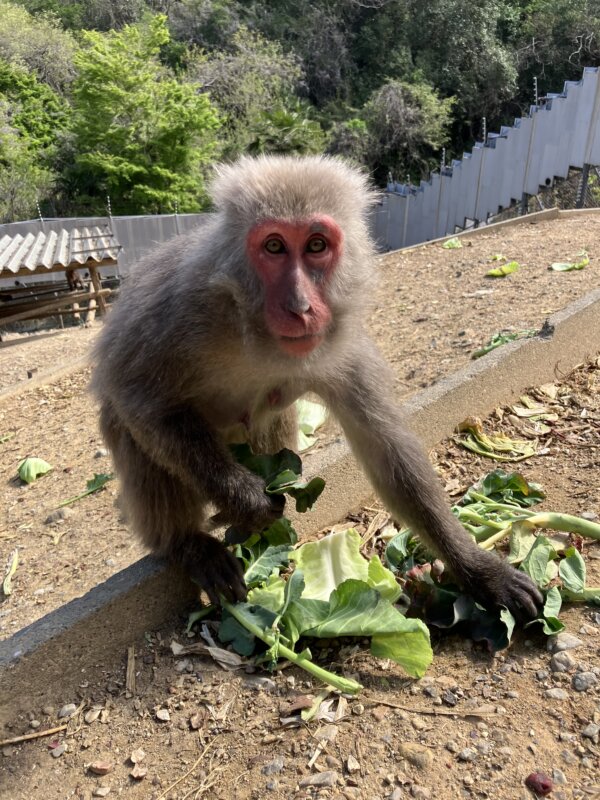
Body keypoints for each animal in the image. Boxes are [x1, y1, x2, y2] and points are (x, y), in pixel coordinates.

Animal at [92, 155, 543, 619]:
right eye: (274, 246)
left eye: (316, 246)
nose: (300, 306)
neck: (254, 330)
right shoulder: (181, 304)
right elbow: (137, 396)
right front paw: (245, 500)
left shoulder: (341, 348)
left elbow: (386, 451)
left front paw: (478, 569)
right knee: (131, 429)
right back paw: (189, 545)